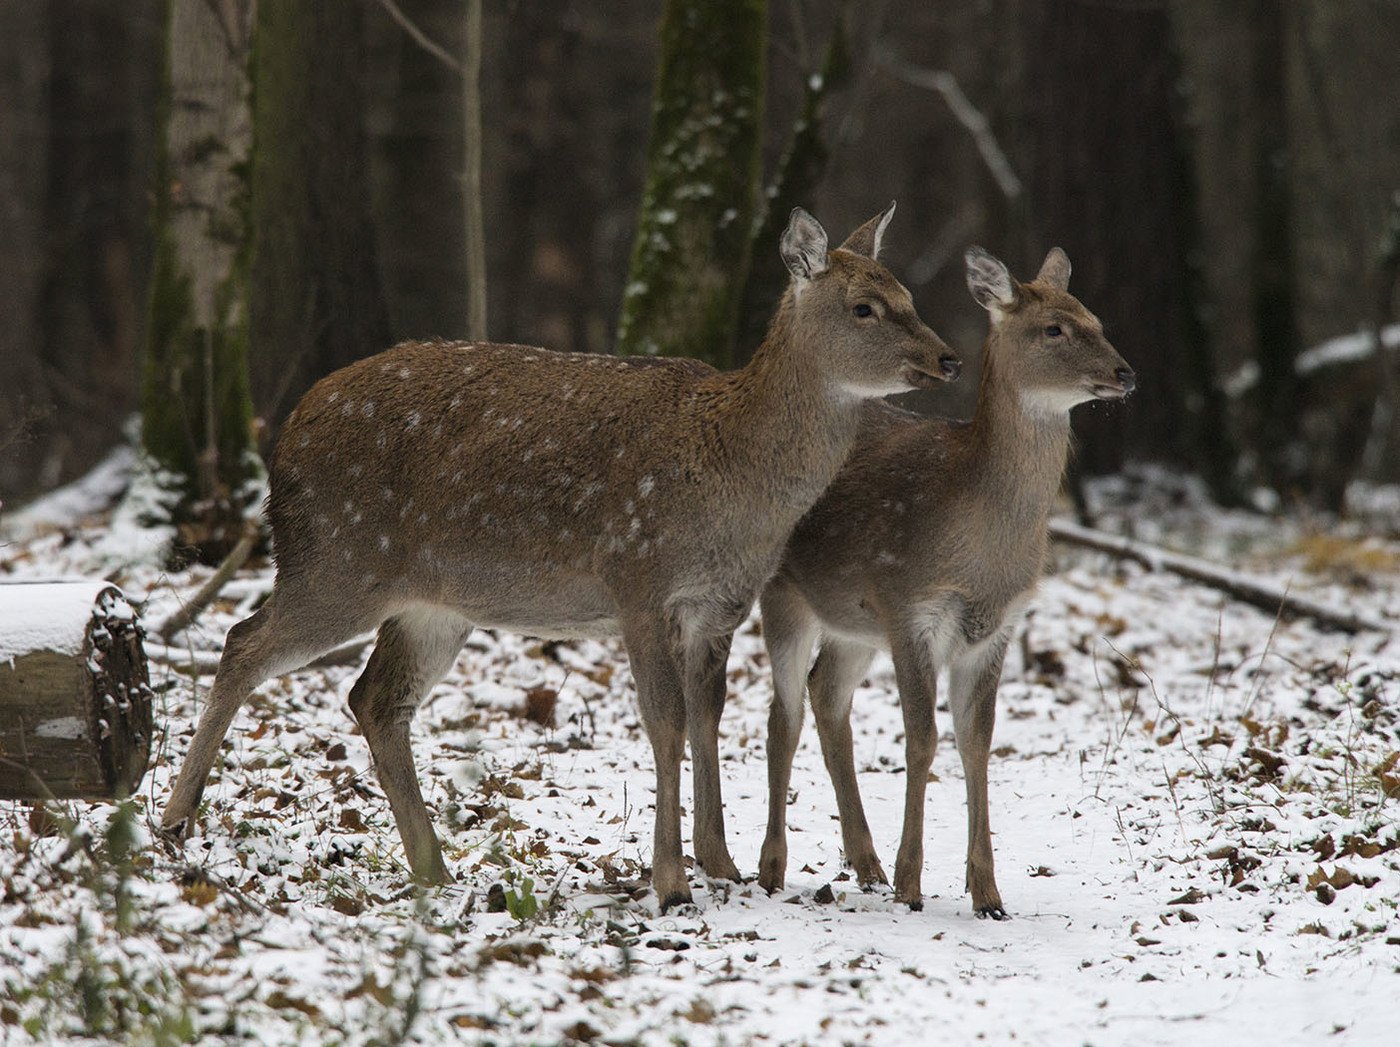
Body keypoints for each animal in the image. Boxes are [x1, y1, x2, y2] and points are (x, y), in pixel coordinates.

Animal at [156, 202, 963, 907]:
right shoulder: (637, 578)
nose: (949, 357)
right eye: (864, 306)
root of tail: (284, 437)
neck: (730, 465)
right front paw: (670, 882)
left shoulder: (717, 606)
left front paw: (722, 865)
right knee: (243, 642)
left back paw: (433, 868)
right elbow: (664, 721)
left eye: (909, 294)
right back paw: (174, 820)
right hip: (337, 557)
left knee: (374, 698)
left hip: (430, 604)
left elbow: (708, 720)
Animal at [756, 244, 1136, 918]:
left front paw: (987, 892)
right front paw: (913, 884)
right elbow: (923, 739)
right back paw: (774, 868)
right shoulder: (909, 606)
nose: (1126, 374)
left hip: (853, 621)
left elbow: (977, 742)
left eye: (1095, 318)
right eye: (1054, 328)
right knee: (783, 714)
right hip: (786, 594)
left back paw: (866, 864)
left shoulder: (997, 626)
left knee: (827, 697)